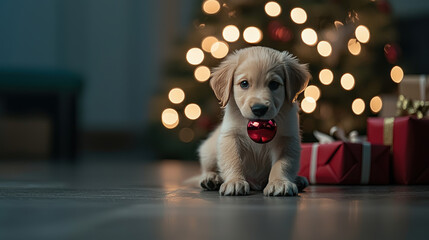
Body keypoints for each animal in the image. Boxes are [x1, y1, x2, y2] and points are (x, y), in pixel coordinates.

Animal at [199, 46, 310, 196]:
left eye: (274, 84)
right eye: (244, 83)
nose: (259, 109)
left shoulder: (287, 139)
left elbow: (283, 164)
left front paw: (279, 182)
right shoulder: (230, 136)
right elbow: (232, 160)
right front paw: (235, 181)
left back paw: (298, 180)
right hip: (209, 151)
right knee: (207, 168)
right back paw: (211, 178)